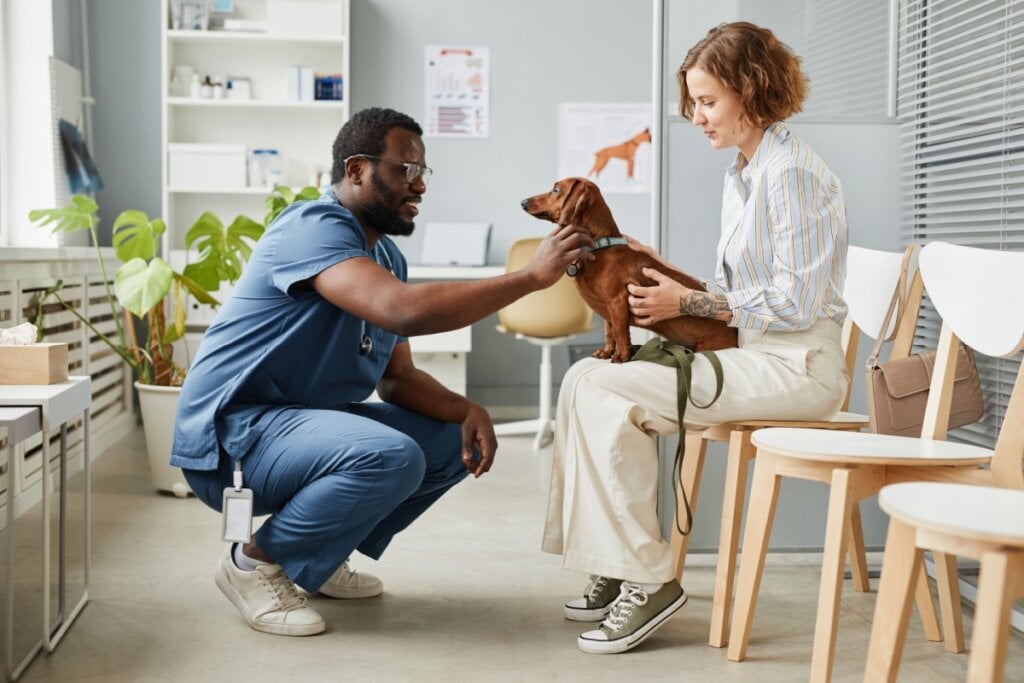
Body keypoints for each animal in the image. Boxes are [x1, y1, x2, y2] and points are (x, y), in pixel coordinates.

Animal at [520, 178, 737, 362]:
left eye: (556, 190)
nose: (523, 202)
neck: (600, 248)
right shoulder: (608, 309)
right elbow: (609, 332)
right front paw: (607, 352)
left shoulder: (617, 301)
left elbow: (619, 331)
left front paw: (621, 355)